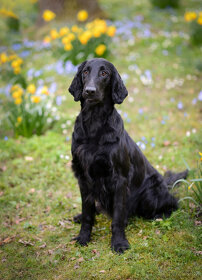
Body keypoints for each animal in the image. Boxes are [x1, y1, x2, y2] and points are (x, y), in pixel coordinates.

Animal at [68, 58, 188, 253]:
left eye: (104, 73)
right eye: (85, 72)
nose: (90, 91)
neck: (95, 123)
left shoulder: (119, 179)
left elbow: (117, 216)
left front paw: (118, 243)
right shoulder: (83, 175)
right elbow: (87, 213)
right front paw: (83, 237)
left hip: (150, 196)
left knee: (173, 202)